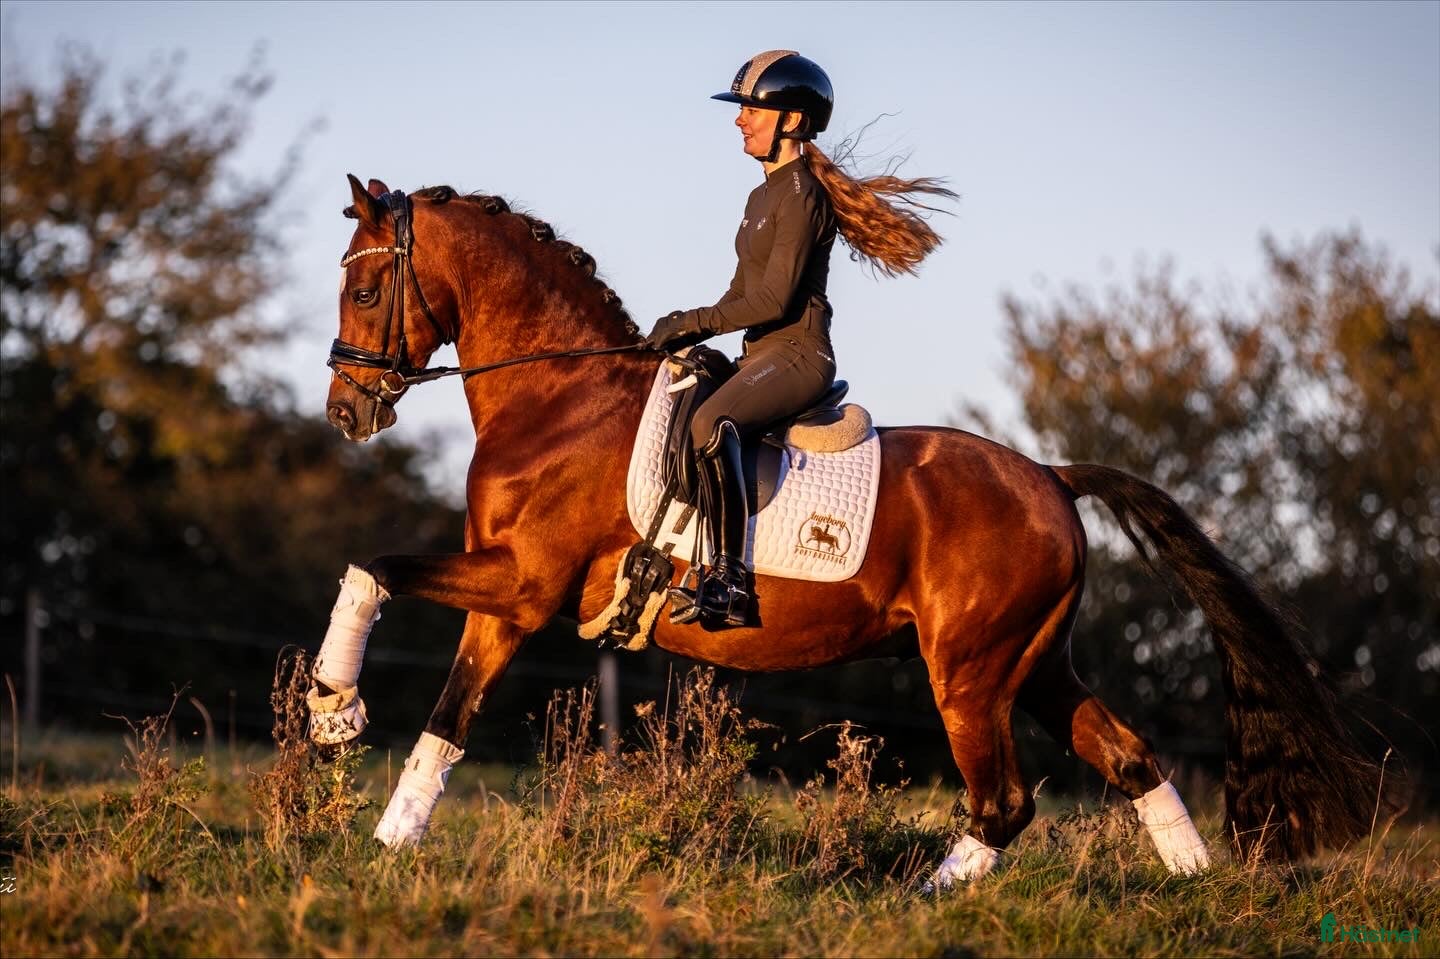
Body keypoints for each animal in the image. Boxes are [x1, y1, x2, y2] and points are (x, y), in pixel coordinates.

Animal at [308, 173, 1385, 883]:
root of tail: (1049, 475)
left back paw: (928, 902)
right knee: (1129, 758)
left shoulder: (525, 582)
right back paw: (1200, 891)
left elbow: (370, 565)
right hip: (1034, 662)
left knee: (1005, 802)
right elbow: (446, 716)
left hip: (971, 673)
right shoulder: (504, 598)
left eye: (362, 288)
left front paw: (330, 710)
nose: (346, 412)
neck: (559, 399)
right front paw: (384, 839)